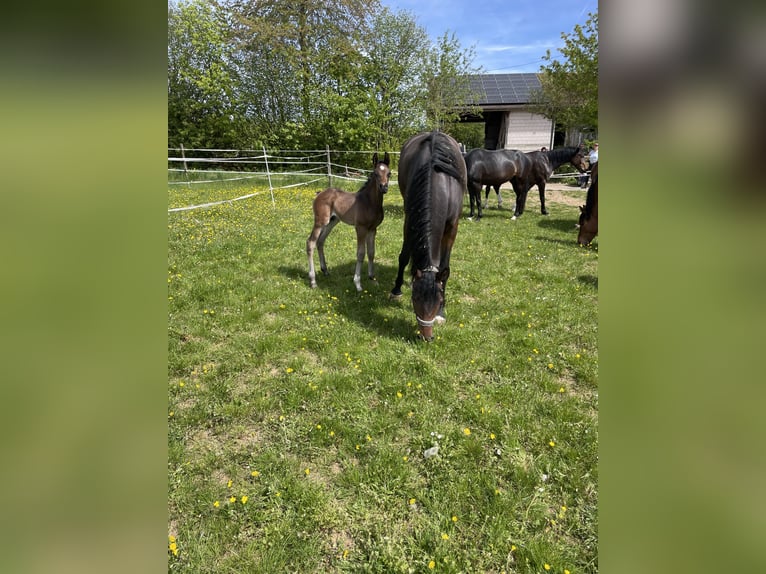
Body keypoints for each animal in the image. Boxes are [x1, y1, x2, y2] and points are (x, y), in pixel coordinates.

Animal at [306, 152, 391, 291]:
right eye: (375, 173)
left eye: (389, 173)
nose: (383, 188)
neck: (369, 202)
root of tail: (319, 193)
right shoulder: (361, 228)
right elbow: (361, 254)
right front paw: (357, 283)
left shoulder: (373, 229)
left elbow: (371, 252)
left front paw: (372, 278)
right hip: (320, 222)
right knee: (311, 242)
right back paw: (313, 281)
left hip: (332, 222)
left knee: (320, 241)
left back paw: (325, 271)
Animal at [390, 131, 466, 342]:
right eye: (415, 298)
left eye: (439, 299)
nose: (427, 336)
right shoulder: (409, 219)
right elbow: (403, 257)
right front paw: (396, 290)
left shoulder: (452, 227)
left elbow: (445, 267)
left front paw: (441, 313)